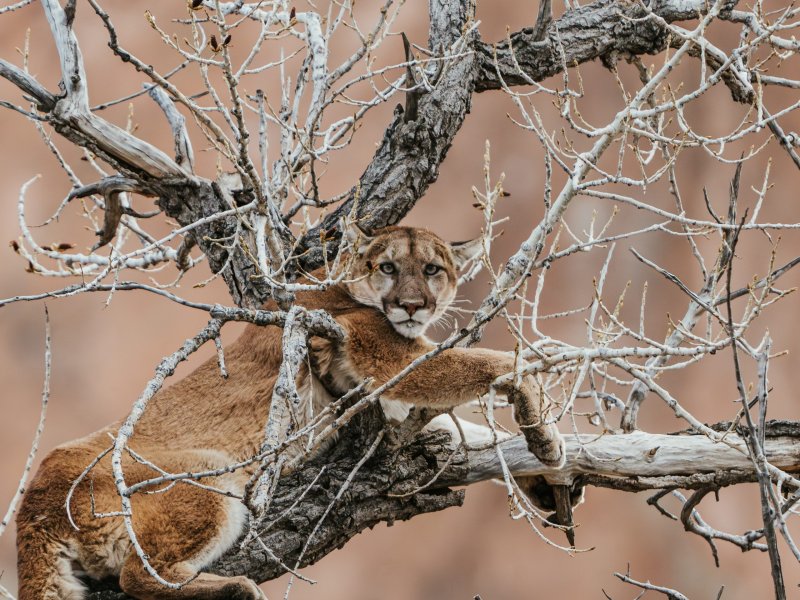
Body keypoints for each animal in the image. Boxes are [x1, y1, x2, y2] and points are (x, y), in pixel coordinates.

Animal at [15, 226, 564, 600]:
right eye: (388, 267)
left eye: (432, 270)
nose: (411, 305)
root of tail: (33, 506)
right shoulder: (395, 358)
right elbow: (497, 362)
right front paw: (540, 415)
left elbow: (471, 430)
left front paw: (549, 466)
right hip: (210, 476)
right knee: (136, 576)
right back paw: (235, 588)